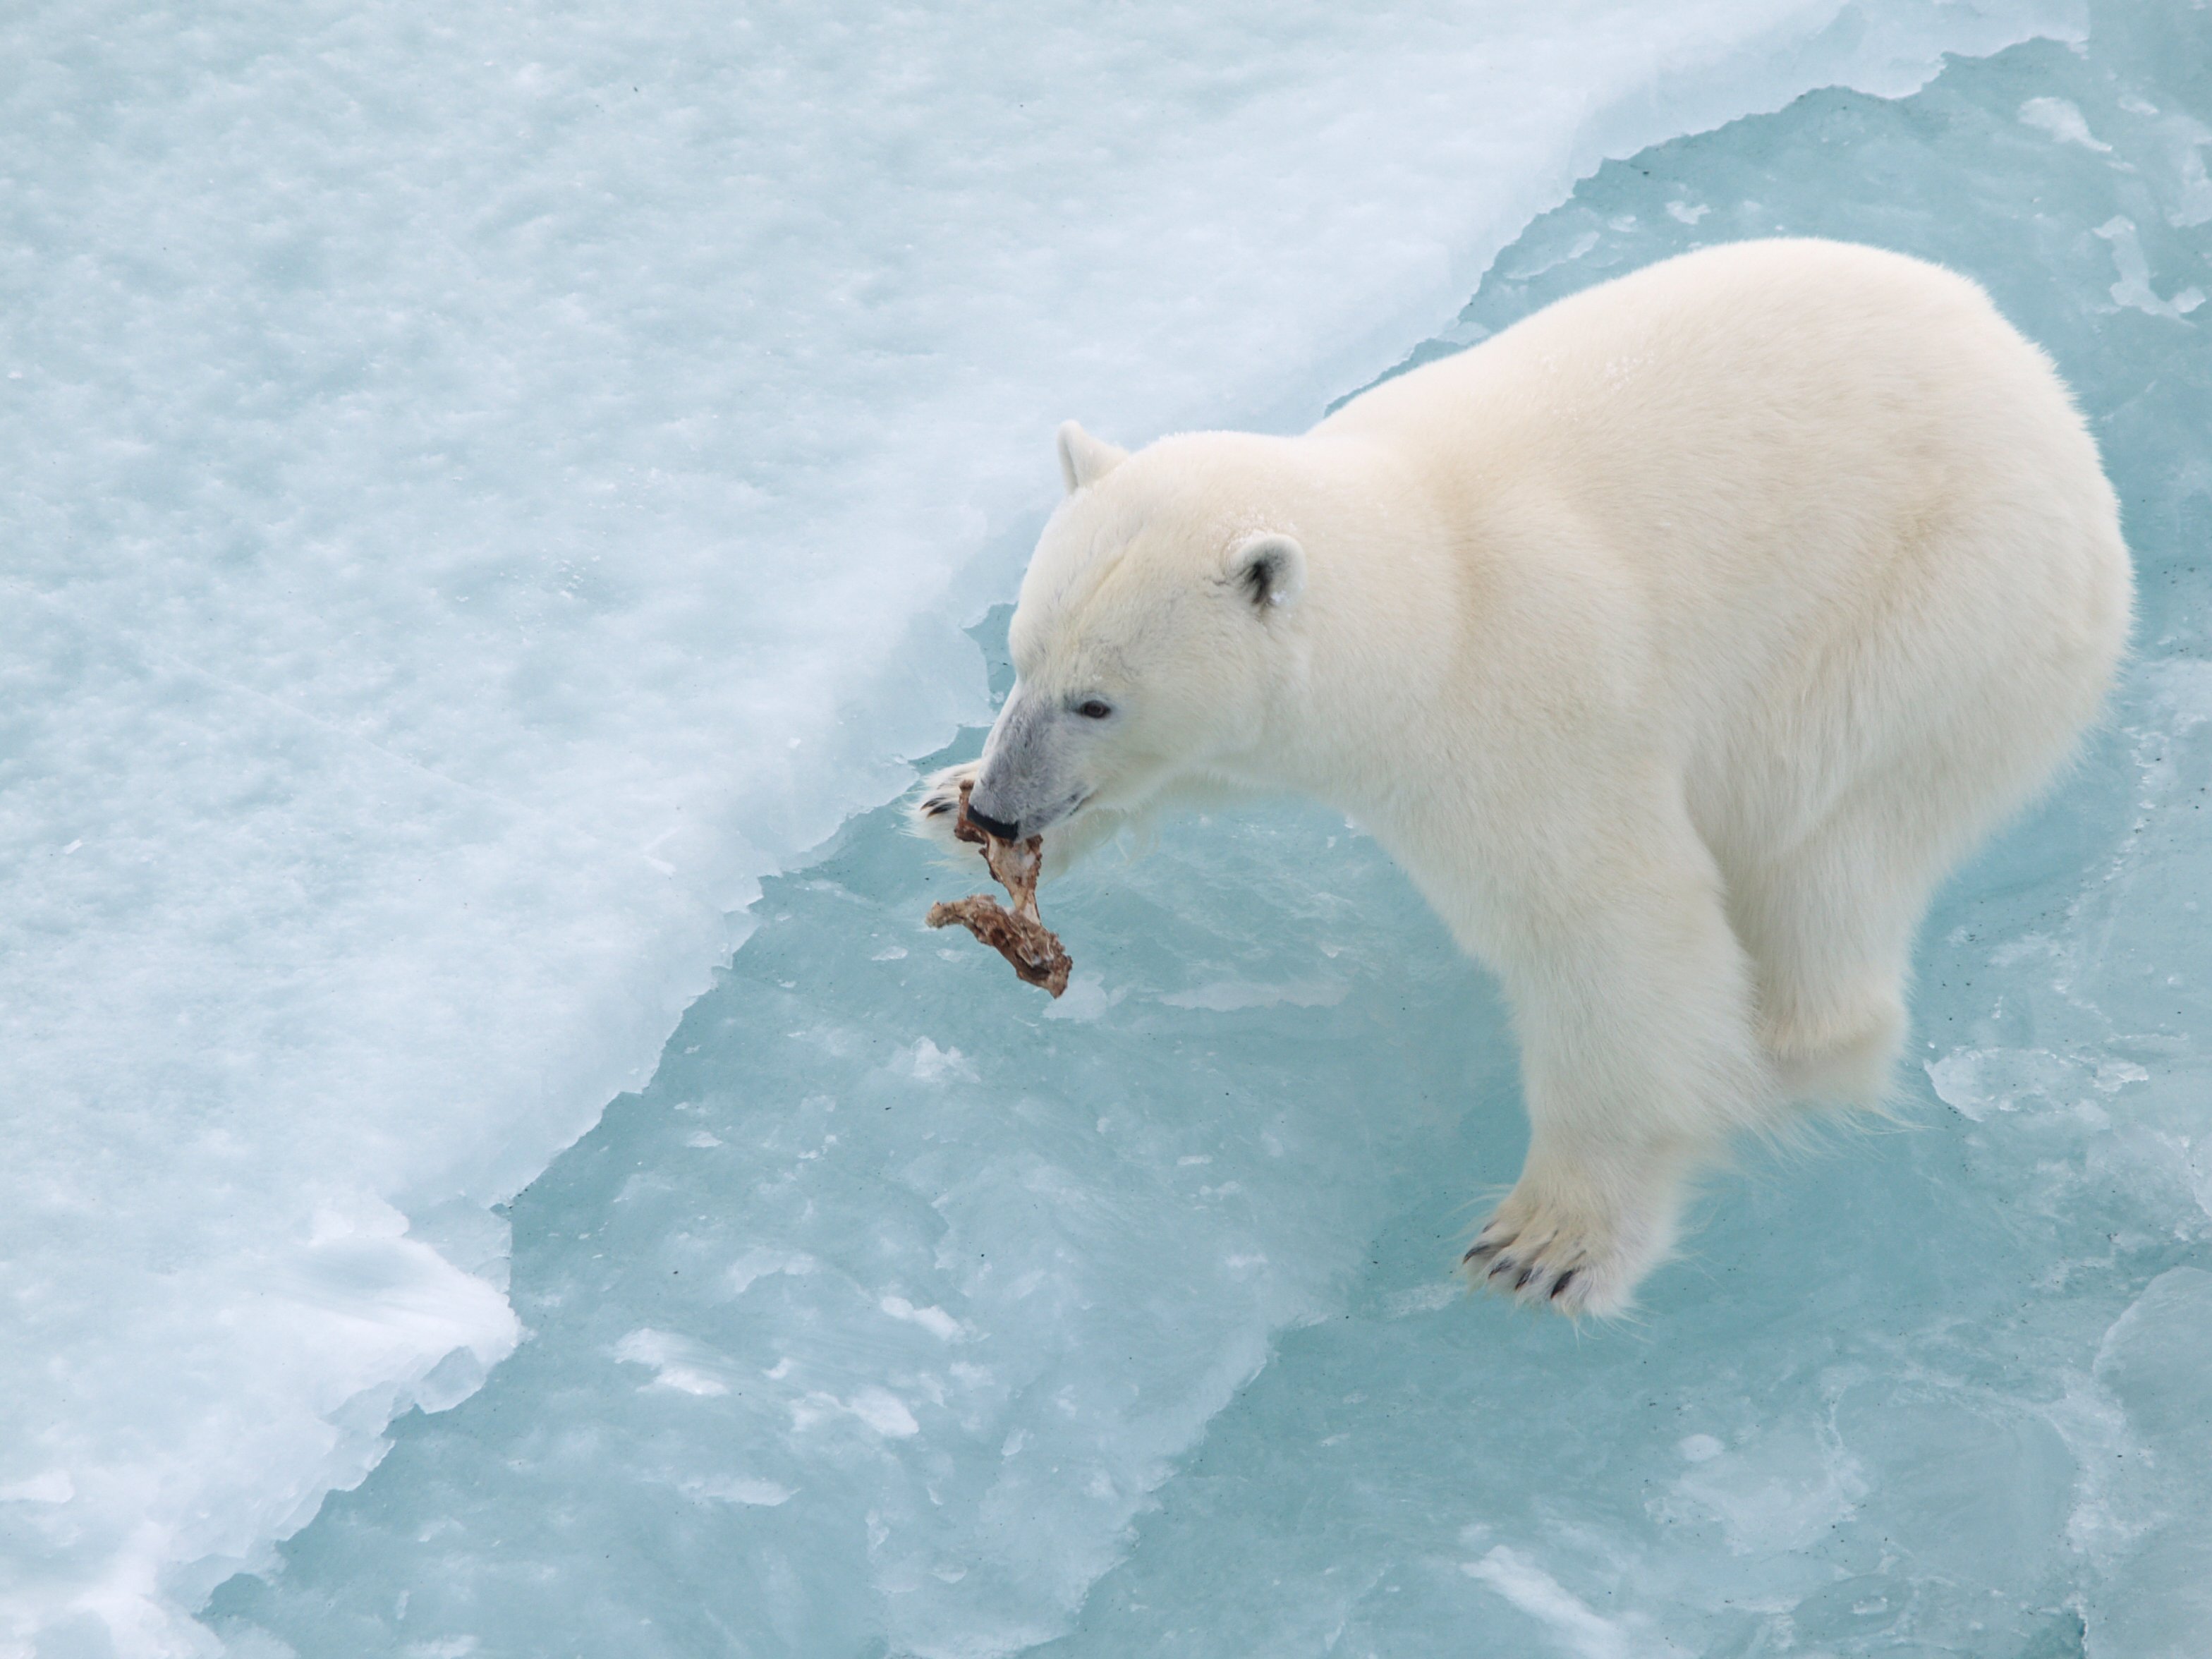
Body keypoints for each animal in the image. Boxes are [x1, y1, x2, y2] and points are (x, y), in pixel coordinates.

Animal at [911, 240, 2123, 1318]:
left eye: (1098, 701)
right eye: (1022, 656)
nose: (1003, 806)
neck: (1436, 587)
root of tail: (2056, 408)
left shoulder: (1530, 716)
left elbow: (1611, 934)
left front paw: (1549, 1242)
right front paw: (941, 796)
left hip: (1921, 627)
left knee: (1820, 858)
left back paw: (1780, 1068)